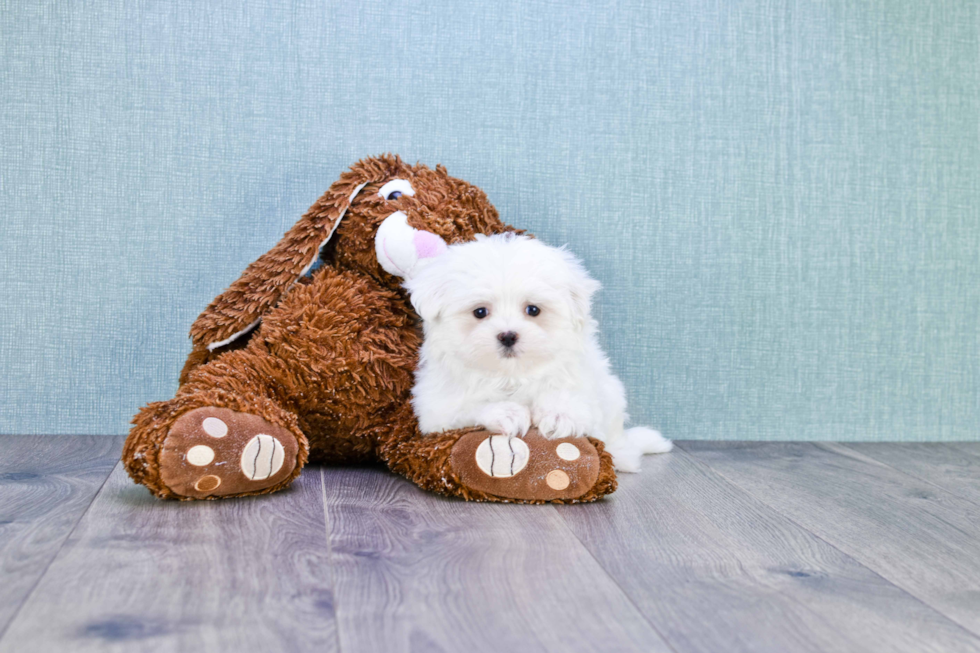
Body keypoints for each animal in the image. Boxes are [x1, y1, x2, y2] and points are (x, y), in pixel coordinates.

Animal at [402, 232, 668, 472]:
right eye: (480, 312)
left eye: (533, 310)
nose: (508, 335)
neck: (511, 375)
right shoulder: (436, 410)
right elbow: (469, 407)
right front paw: (506, 412)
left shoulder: (585, 385)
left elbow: (568, 395)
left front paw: (559, 414)